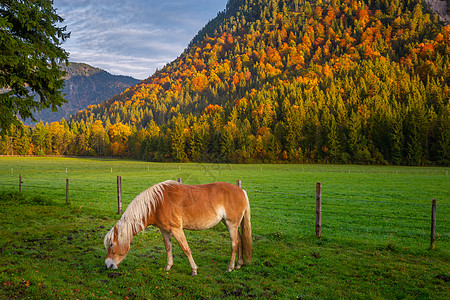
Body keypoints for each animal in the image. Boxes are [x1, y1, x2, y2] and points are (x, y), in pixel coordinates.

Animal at [104, 179, 253, 276]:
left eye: (112, 244)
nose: (107, 265)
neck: (156, 203)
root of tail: (242, 191)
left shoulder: (176, 229)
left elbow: (185, 249)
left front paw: (194, 270)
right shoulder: (164, 230)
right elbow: (168, 247)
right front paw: (168, 267)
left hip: (231, 224)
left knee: (234, 243)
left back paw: (230, 268)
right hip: (231, 224)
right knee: (240, 240)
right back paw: (239, 264)